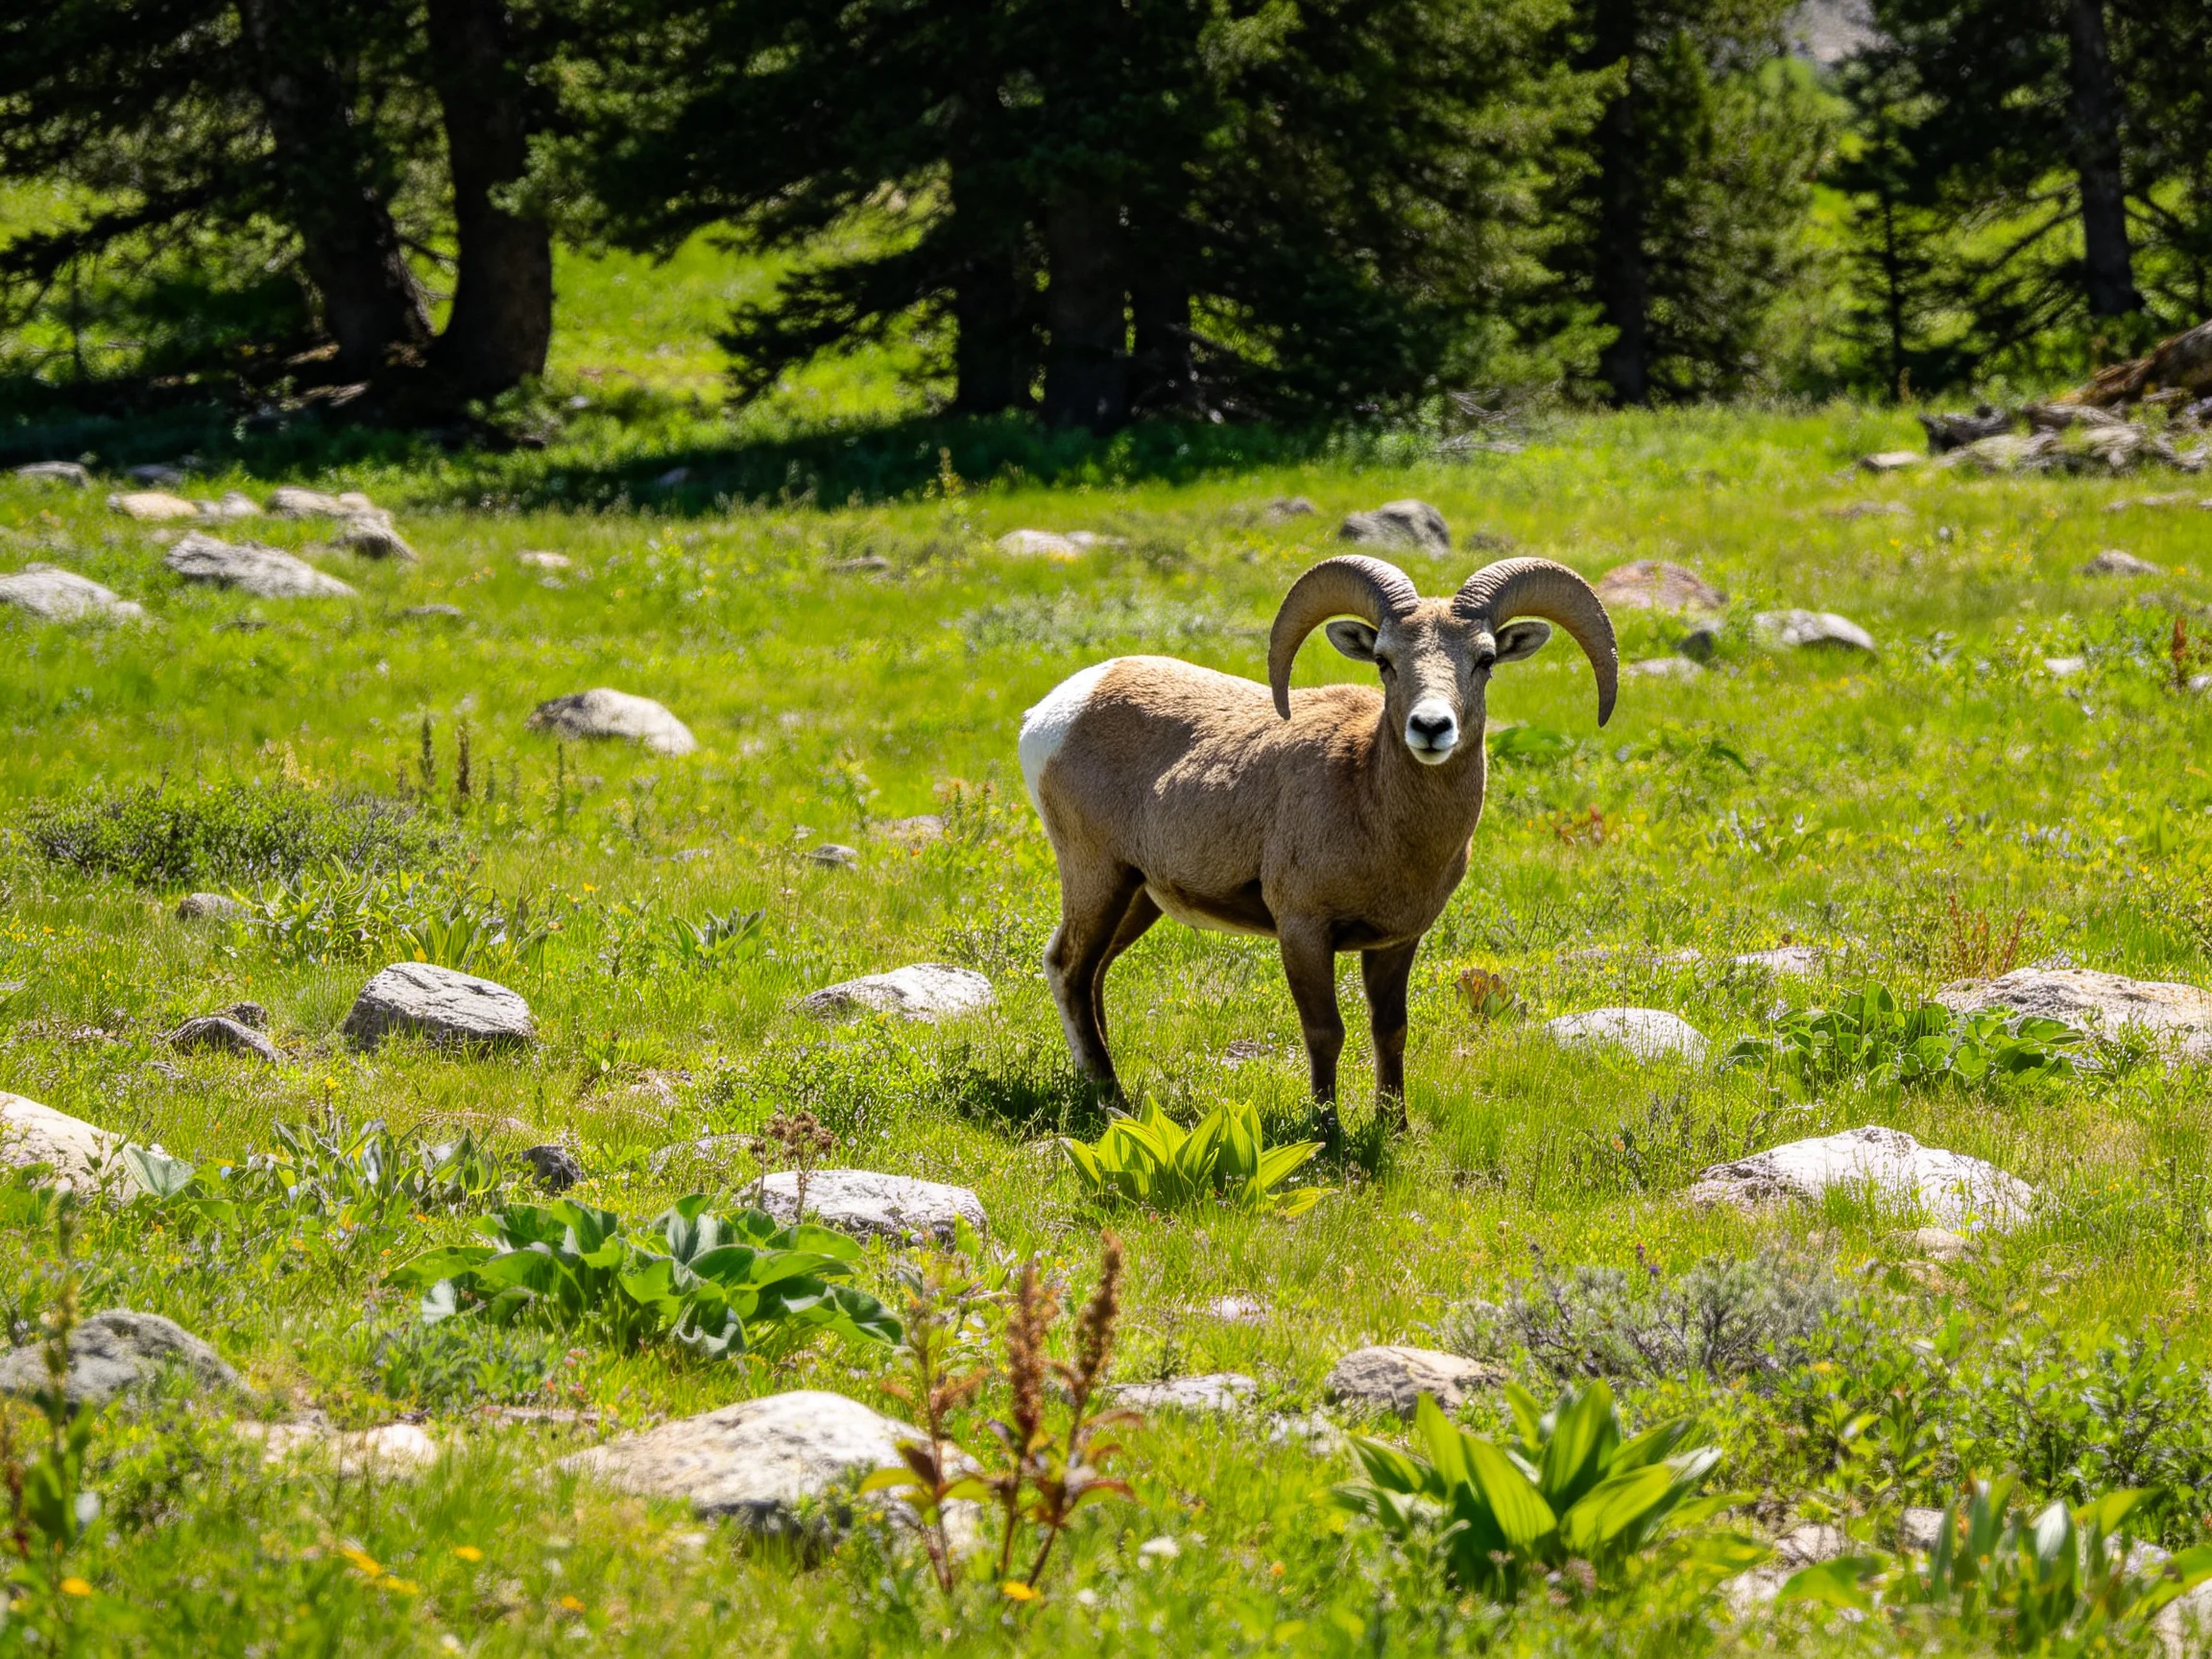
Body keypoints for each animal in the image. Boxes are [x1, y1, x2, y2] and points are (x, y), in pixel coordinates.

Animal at [1018, 553, 1617, 1138]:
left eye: (1485, 659)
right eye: (1384, 660)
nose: (1430, 727)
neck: (1372, 805)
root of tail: (1051, 713)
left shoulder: (1396, 942)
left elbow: (1390, 1030)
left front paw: (1394, 1128)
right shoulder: (1303, 930)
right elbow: (1325, 1031)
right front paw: (1327, 1131)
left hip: (1138, 897)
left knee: (1093, 975)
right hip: (1098, 876)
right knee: (1068, 966)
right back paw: (1111, 1100)